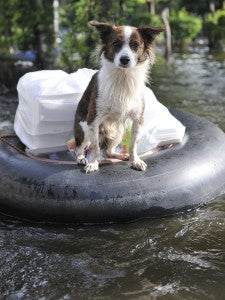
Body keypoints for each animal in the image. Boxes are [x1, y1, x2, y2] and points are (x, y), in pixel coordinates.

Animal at [74, 20, 163, 173]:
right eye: (115, 43)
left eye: (135, 45)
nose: (125, 59)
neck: (123, 77)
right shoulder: (93, 120)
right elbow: (96, 148)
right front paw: (93, 163)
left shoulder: (138, 119)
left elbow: (133, 145)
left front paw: (135, 161)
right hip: (84, 129)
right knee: (79, 149)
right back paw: (81, 158)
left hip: (118, 131)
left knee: (108, 151)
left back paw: (120, 155)